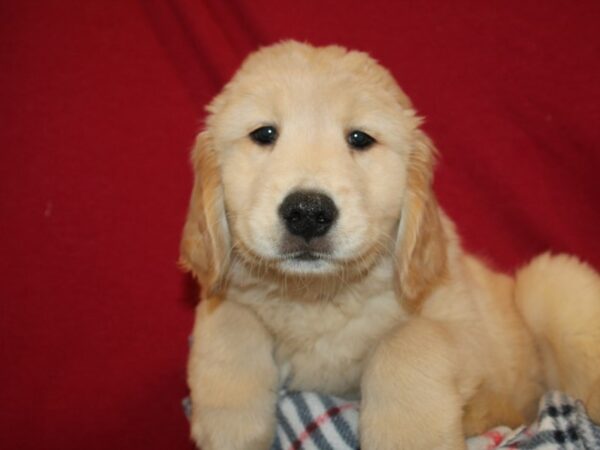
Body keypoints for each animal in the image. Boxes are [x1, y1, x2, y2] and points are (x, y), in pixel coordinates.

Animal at [179, 40, 600, 448]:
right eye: (264, 134)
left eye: (360, 138)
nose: (308, 212)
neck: (318, 296)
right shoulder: (225, 290)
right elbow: (229, 320)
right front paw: (232, 427)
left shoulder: (467, 332)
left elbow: (406, 340)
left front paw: (409, 436)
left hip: (545, 284)